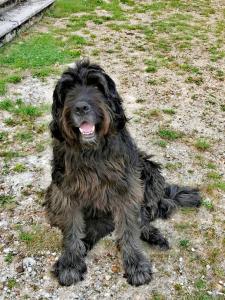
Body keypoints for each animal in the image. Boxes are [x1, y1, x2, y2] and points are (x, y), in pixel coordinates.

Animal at [44, 58, 200, 286]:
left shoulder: (127, 187)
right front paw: (71, 262)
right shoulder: (64, 191)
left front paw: (136, 264)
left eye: (97, 86)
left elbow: (128, 228)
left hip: (147, 170)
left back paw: (152, 235)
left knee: (143, 217)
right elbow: (72, 229)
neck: (91, 151)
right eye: (68, 89)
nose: (81, 107)